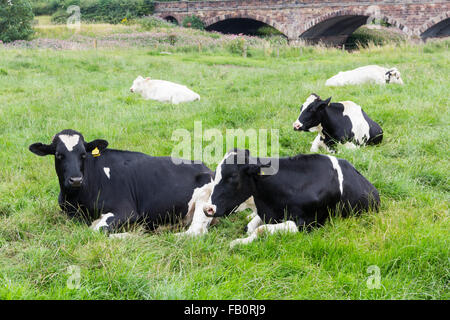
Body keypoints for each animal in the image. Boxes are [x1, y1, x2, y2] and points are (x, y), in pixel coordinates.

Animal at [29, 129, 214, 234]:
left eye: (83, 154)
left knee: (195, 232)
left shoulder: (126, 211)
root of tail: (206, 167)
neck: (78, 198)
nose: (75, 180)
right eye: (59, 155)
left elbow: (96, 230)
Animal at [202, 149, 378, 248]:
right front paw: (242, 240)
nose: (207, 209)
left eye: (232, 176)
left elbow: (261, 229)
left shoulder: (309, 223)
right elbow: (251, 227)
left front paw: (237, 242)